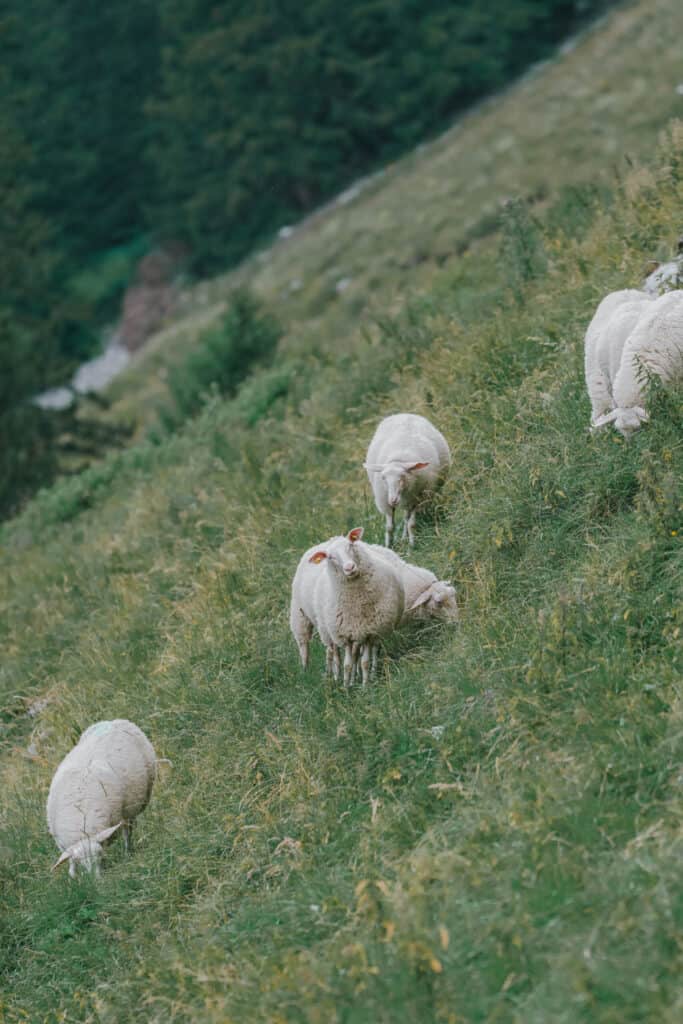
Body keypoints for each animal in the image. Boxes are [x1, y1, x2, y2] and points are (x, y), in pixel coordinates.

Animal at [46, 716, 156, 876]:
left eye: (100, 856)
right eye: (81, 862)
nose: (95, 879)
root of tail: (115, 721)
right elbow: (70, 861)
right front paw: (73, 875)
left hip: (132, 806)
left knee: (128, 830)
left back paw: (128, 851)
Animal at [309, 528, 405, 688]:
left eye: (350, 545)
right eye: (330, 557)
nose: (349, 567)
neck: (356, 603)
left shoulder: (369, 632)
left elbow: (365, 662)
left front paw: (365, 686)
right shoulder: (345, 634)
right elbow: (347, 664)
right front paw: (346, 687)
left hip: (375, 631)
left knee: (373, 651)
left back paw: (370, 674)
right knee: (349, 655)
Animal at [366, 411, 450, 548]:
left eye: (403, 476)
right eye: (383, 478)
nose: (393, 500)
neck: (398, 460)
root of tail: (405, 413)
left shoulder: (418, 499)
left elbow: (412, 524)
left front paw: (412, 546)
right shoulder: (385, 502)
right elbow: (389, 527)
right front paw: (389, 546)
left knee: (407, 518)